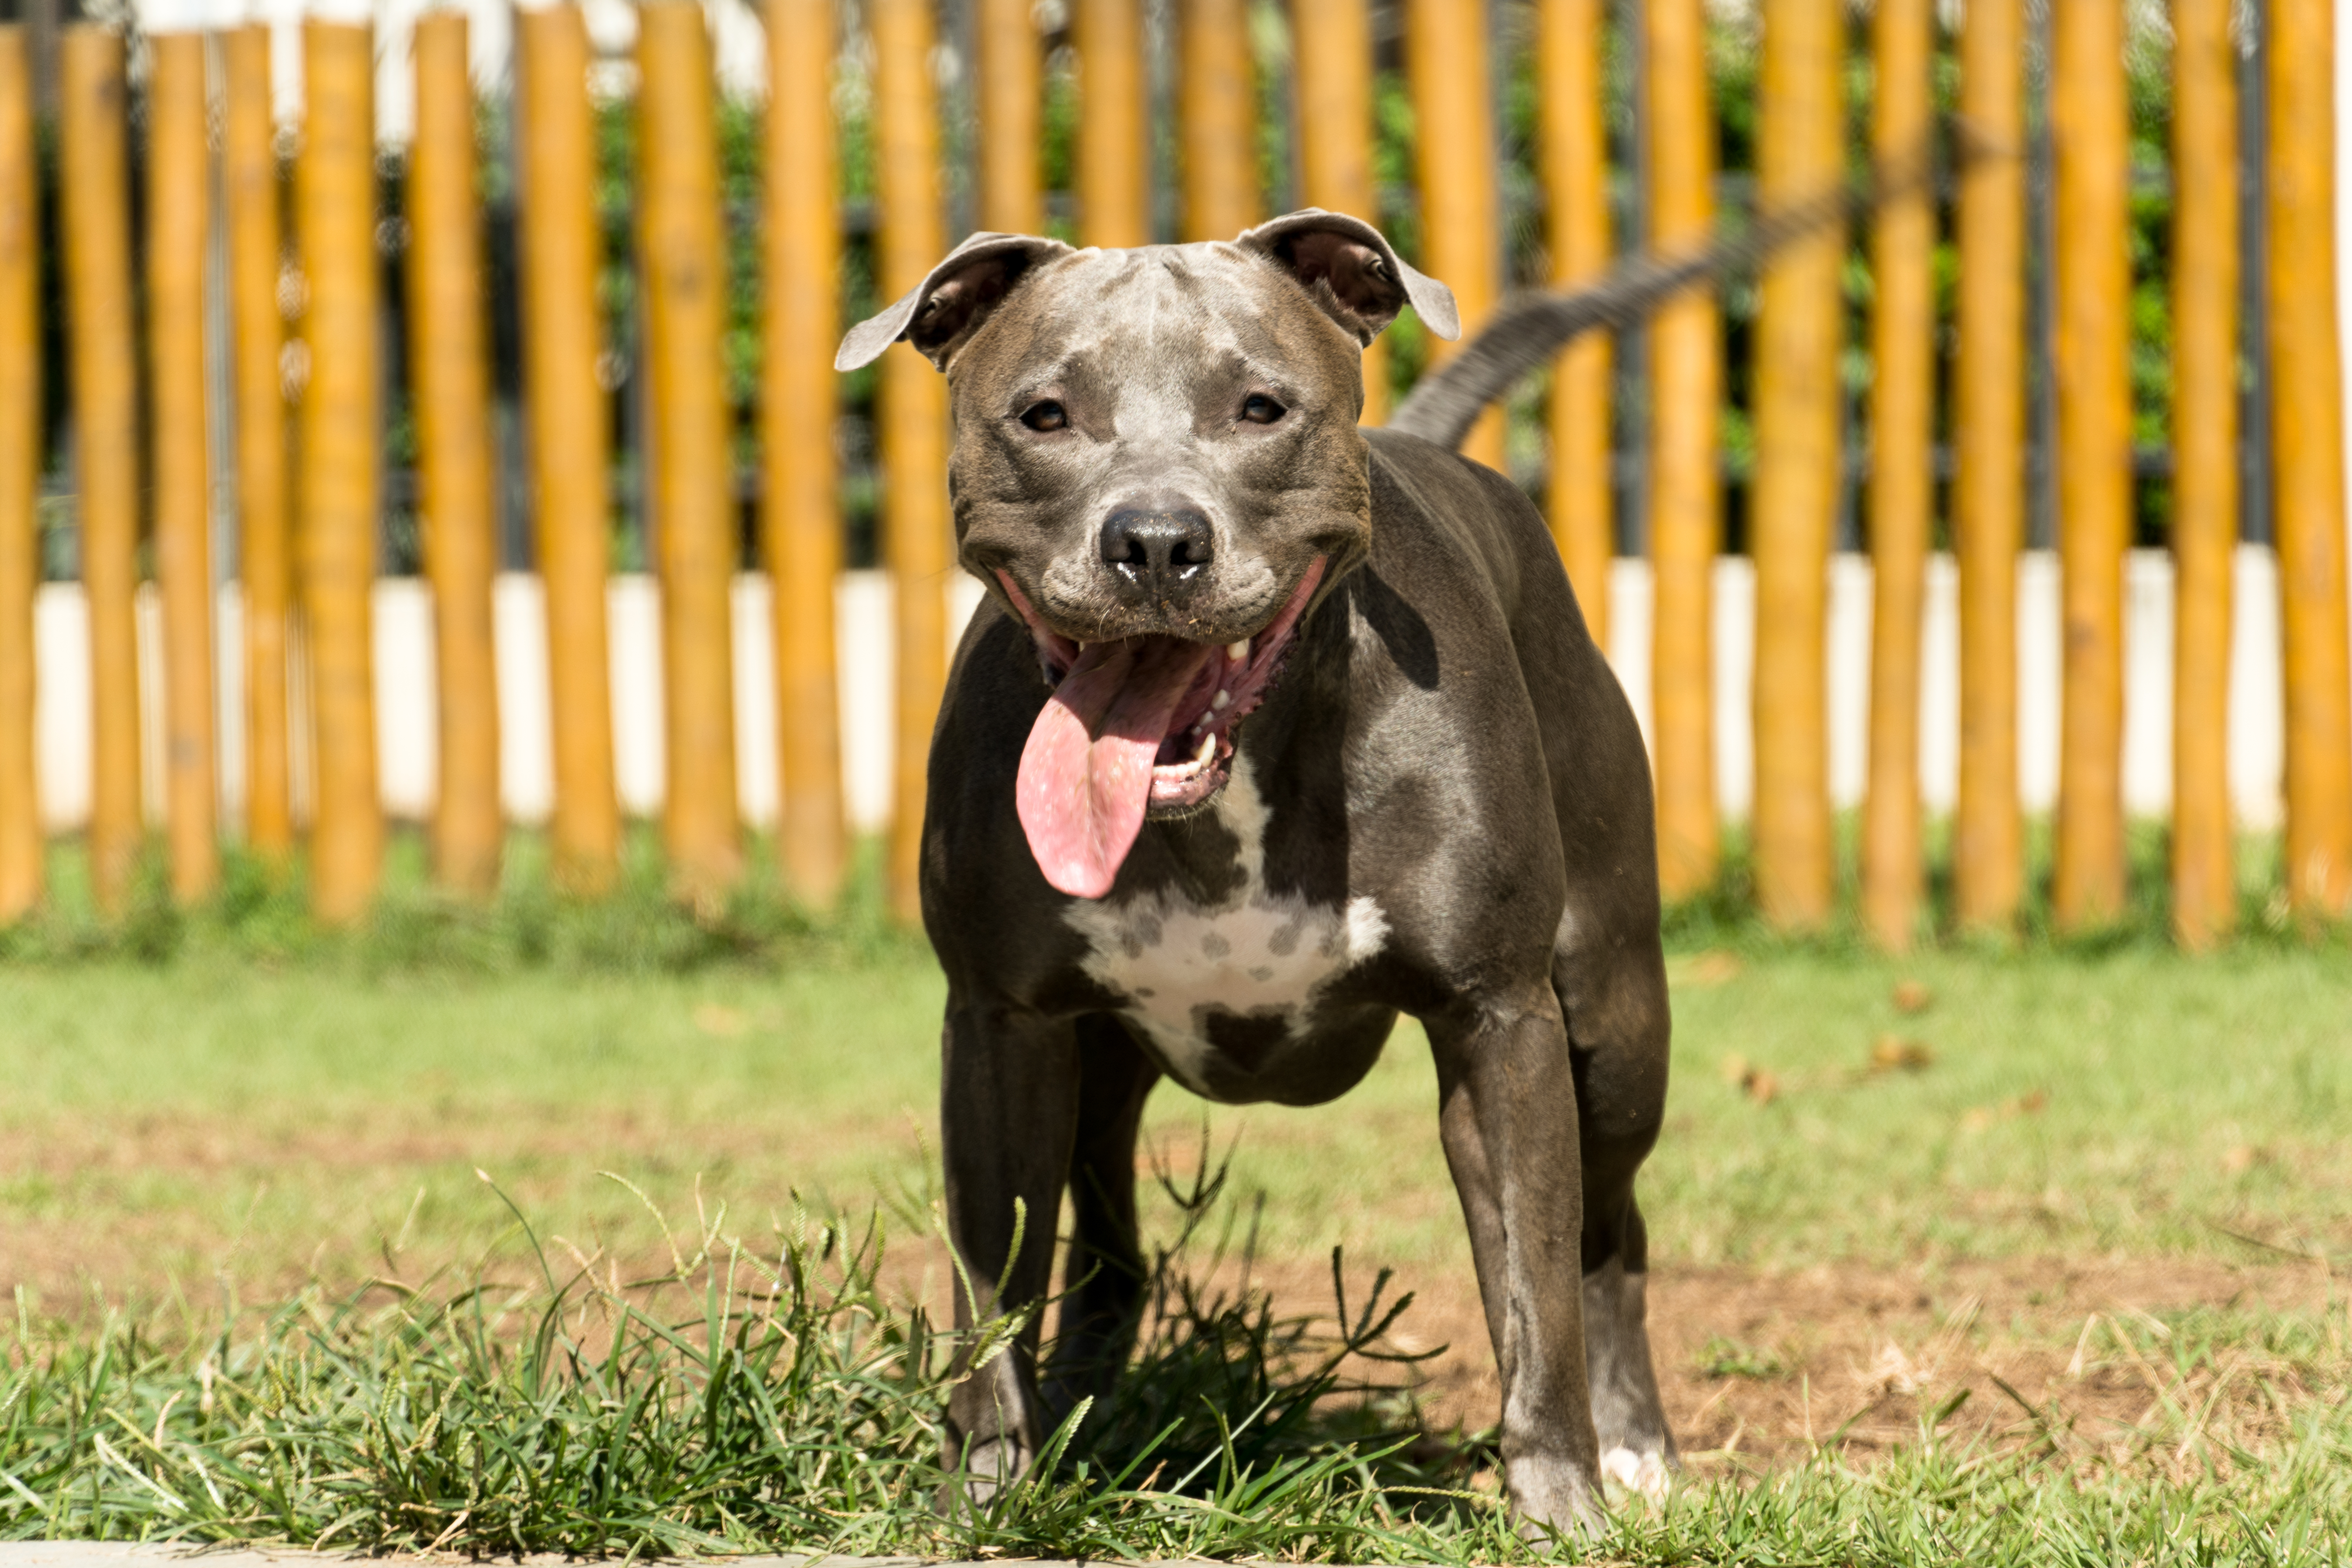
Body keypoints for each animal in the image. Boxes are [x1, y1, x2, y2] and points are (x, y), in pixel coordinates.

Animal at [828, 205, 1675, 1533]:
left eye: (1260, 408)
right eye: (1044, 413)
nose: (1155, 541)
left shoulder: (1499, 1021)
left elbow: (1531, 1286)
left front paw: (1557, 1504)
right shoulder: (1001, 1026)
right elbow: (994, 1290)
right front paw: (990, 1489)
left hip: (1616, 1023)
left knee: (1609, 1230)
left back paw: (1635, 1443)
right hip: (1098, 1065)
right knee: (1109, 1250)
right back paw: (1083, 1411)